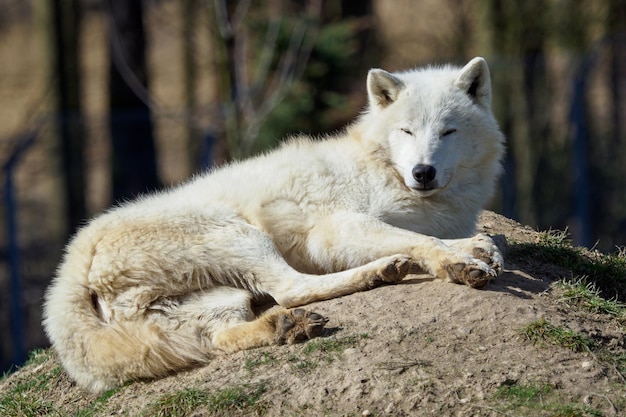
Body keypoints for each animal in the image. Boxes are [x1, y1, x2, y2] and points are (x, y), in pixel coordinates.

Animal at [42, 57, 502, 392]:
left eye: (448, 131)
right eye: (406, 131)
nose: (423, 172)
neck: (381, 168)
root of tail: (70, 270)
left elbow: (442, 235)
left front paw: (477, 247)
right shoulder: (334, 230)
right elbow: (420, 240)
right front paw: (458, 263)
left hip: (222, 300)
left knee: (225, 335)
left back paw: (287, 326)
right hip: (243, 236)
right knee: (291, 289)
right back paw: (380, 272)